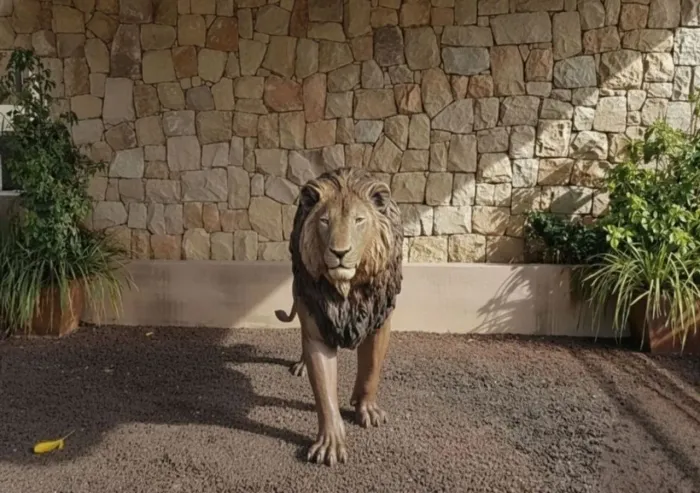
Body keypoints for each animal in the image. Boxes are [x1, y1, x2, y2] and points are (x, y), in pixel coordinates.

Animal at [275, 167, 403, 467]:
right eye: (324, 221)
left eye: (359, 220)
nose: (339, 252)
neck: (348, 290)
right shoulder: (317, 324)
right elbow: (324, 390)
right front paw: (330, 444)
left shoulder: (380, 321)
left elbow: (371, 370)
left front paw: (367, 409)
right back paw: (301, 365)